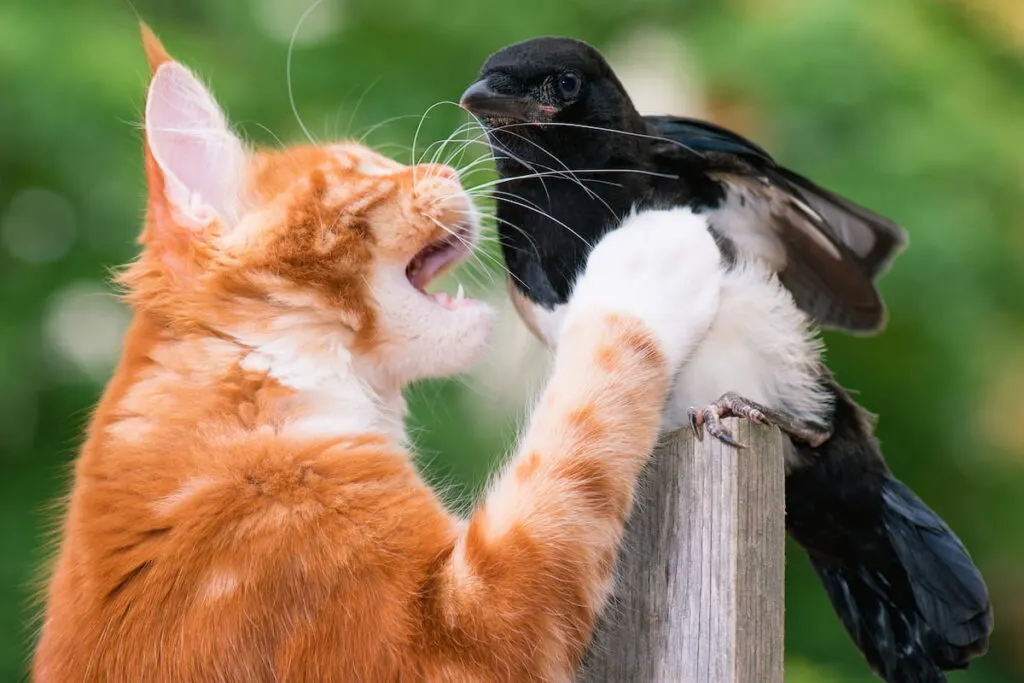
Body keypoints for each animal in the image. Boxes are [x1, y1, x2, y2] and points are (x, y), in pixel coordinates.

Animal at [29, 26, 720, 683]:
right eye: (359, 168)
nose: (446, 173)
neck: (259, 374)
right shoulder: (447, 640)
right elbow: (582, 426)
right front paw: (651, 255)